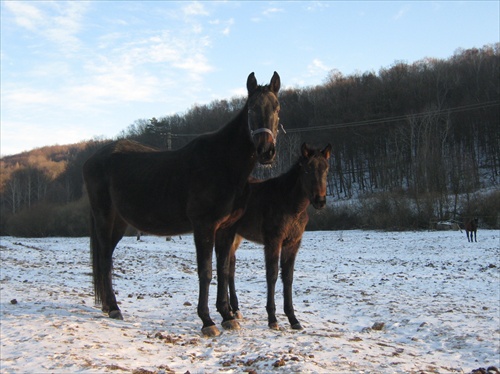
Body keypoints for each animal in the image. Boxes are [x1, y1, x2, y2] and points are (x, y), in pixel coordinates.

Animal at [84, 71, 284, 338]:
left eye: (277, 107)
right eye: (251, 108)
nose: (266, 151)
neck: (223, 164)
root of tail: (92, 159)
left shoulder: (227, 229)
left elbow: (223, 270)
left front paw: (227, 316)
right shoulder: (203, 226)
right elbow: (206, 272)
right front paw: (207, 321)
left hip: (119, 223)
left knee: (107, 258)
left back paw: (108, 306)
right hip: (105, 219)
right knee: (105, 259)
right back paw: (114, 308)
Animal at [220, 143, 332, 330]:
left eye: (326, 169)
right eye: (307, 169)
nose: (320, 201)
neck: (290, 204)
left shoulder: (293, 244)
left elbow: (288, 277)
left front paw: (293, 319)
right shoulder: (273, 242)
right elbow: (271, 276)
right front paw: (272, 318)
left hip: (236, 237)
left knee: (230, 268)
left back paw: (235, 310)